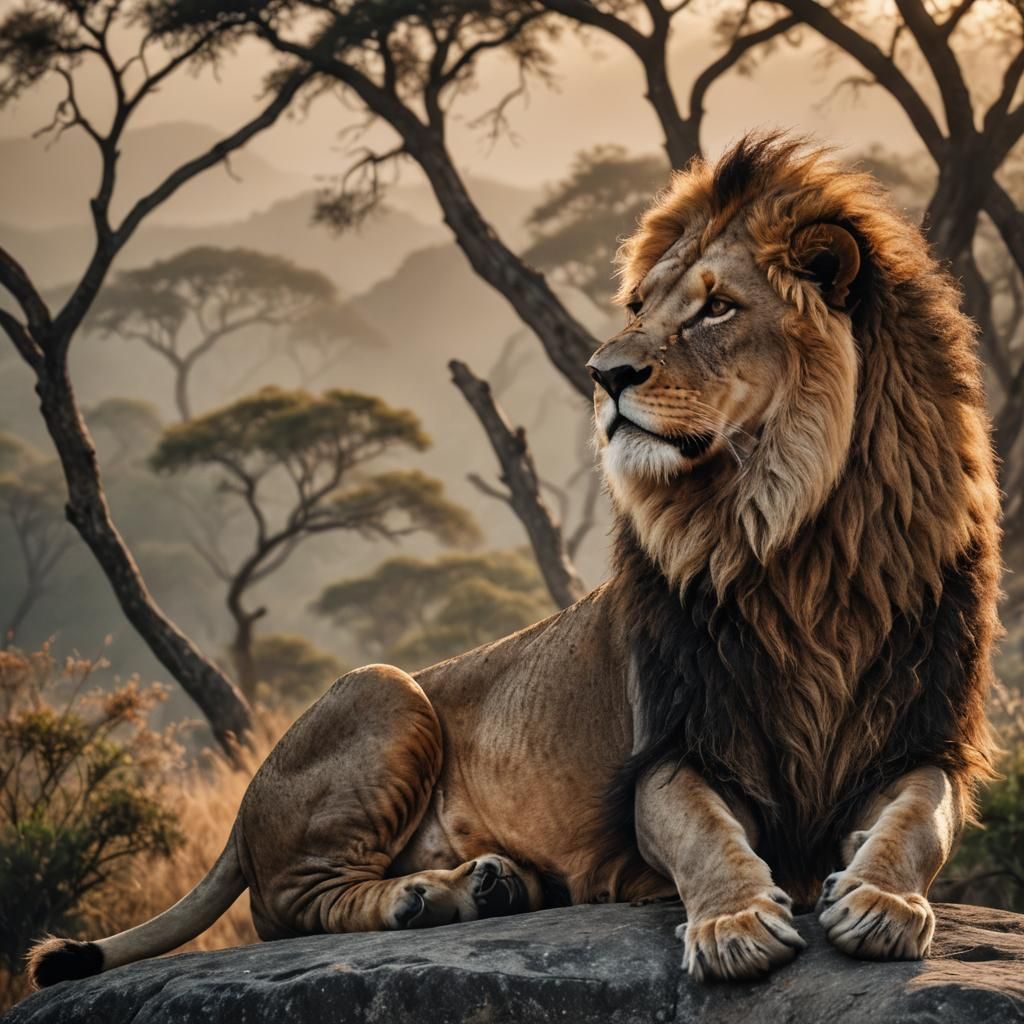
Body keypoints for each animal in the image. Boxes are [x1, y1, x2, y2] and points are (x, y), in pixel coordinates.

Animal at [30, 134, 999, 989]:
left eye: (718, 307)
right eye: (641, 307)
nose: (604, 373)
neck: (798, 538)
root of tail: (242, 810)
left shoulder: (924, 737)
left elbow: (919, 820)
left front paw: (878, 900)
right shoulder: (671, 749)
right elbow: (704, 834)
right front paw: (733, 924)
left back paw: (494, 884)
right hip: (384, 689)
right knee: (289, 905)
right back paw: (430, 896)